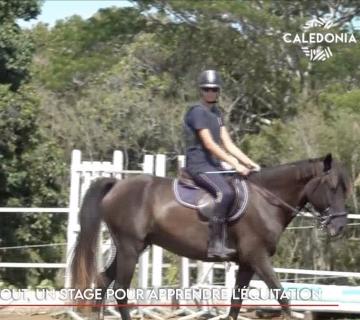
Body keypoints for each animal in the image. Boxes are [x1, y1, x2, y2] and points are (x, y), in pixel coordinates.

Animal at [70, 154, 352, 318]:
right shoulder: (258, 258)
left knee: (102, 282)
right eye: (332, 187)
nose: (339, 226)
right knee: (119, 290)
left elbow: (236, 303)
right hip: (130, 247)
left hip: (130, 247)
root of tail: (117, 184)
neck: (267, 200)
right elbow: (283, 299)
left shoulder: (247, 264)